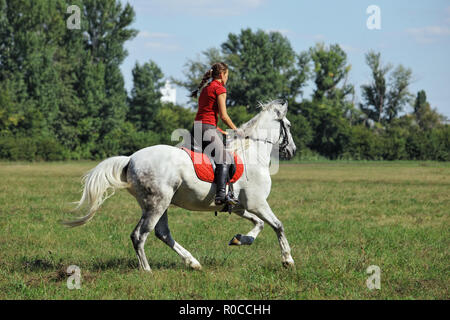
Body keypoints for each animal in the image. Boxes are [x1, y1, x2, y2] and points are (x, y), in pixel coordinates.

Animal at [62, 100, 296, 272]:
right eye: (288, 126)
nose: (292, 150)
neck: (252, 152)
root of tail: (130, 159)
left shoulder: (240, 206)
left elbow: (260, 224)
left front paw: (240, 239)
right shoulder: (258, 203)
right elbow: (278, 225)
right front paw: (287, 260)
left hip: (159, 204)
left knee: (162, 233)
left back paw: (193, 262)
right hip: (157, 203)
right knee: (140, 235)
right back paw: (147, 271)